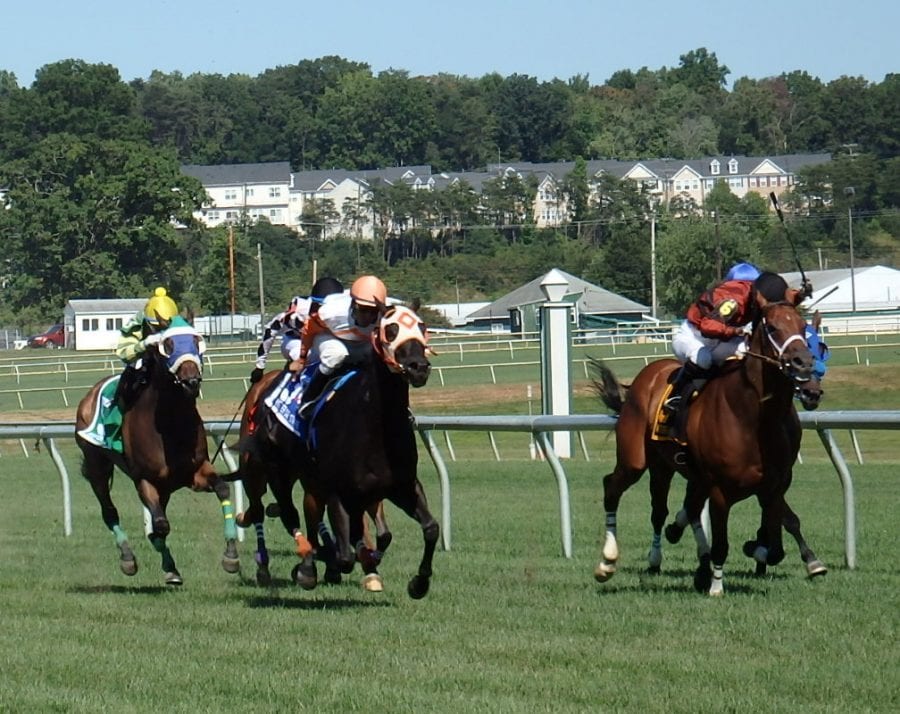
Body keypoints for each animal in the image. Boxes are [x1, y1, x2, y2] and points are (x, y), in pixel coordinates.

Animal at [74, 314, 239, 580]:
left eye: (197, 341)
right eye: (168, 345)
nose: (191, 381)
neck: (170, 425)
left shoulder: (194, 472)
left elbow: (223, 489)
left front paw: (231, 555)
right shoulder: (144, 479)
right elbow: (161, 524)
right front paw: (167, 565)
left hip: (166, 487)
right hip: (97, 464)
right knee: (109, 511)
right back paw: (128, 557)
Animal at [229, 302, 440, 596]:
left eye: (422, 326)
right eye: (391, 329)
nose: (418, 366)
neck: (377, 426)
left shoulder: (400, 486)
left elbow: (428, 529)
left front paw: (417, 583)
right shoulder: (338, 491)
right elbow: (344, 555)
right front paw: (318, 565)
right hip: (269, 471)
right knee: (283, 512)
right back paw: (284, 563)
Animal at [592, 296, 824, 596]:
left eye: (802, 326)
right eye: (772, 327)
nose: (803, 365)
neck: (753, 417)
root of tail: (645, 377)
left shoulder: (774, 484)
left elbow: (780, 536)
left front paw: (767, 552)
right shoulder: (719, 488)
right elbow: (722, 543)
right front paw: (717, 585)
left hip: (667, 466)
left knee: (669, 509)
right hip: (635, 460)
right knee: (613, 488)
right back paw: (608, 562)